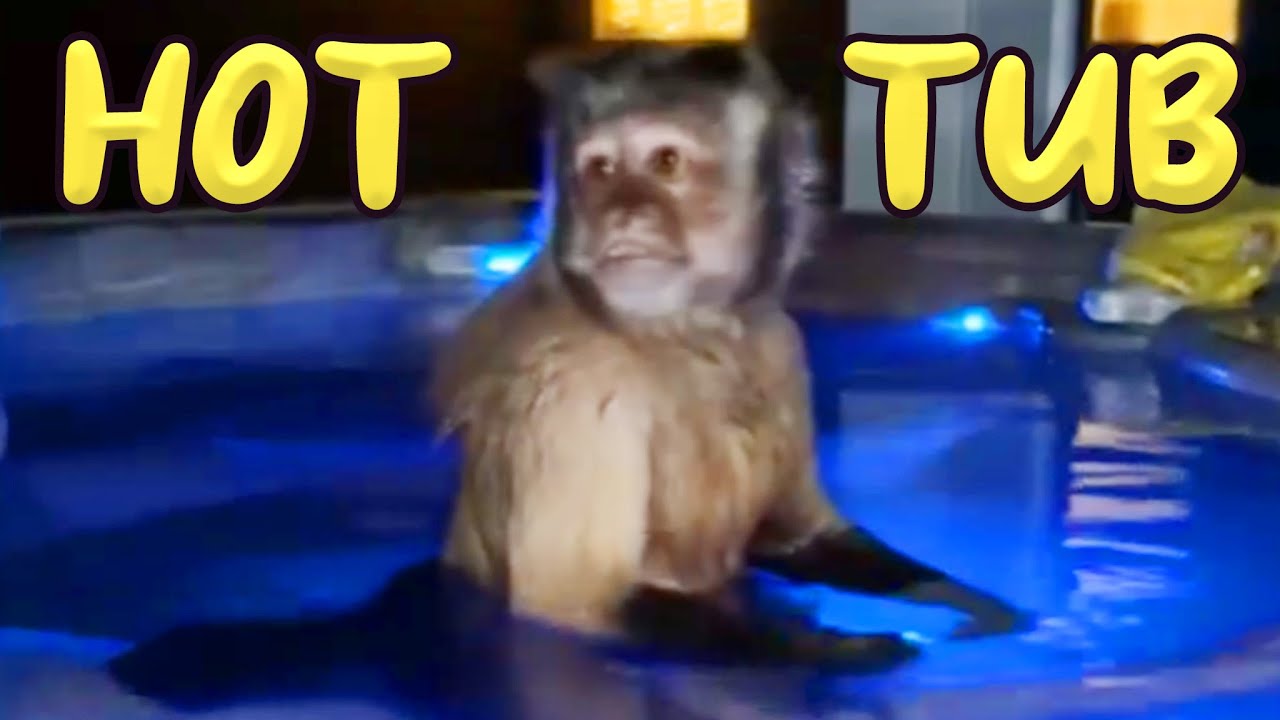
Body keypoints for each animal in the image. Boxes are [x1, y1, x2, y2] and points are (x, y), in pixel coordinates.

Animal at [432, 41, 1033, 670]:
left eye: (665, 162)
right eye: (601, 170)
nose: (622, 215)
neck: (685, 333)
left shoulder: (779, 342)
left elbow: (793, 536)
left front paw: (959, 601)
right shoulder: (580, 383)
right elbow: (577, 603)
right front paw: (837, 650)